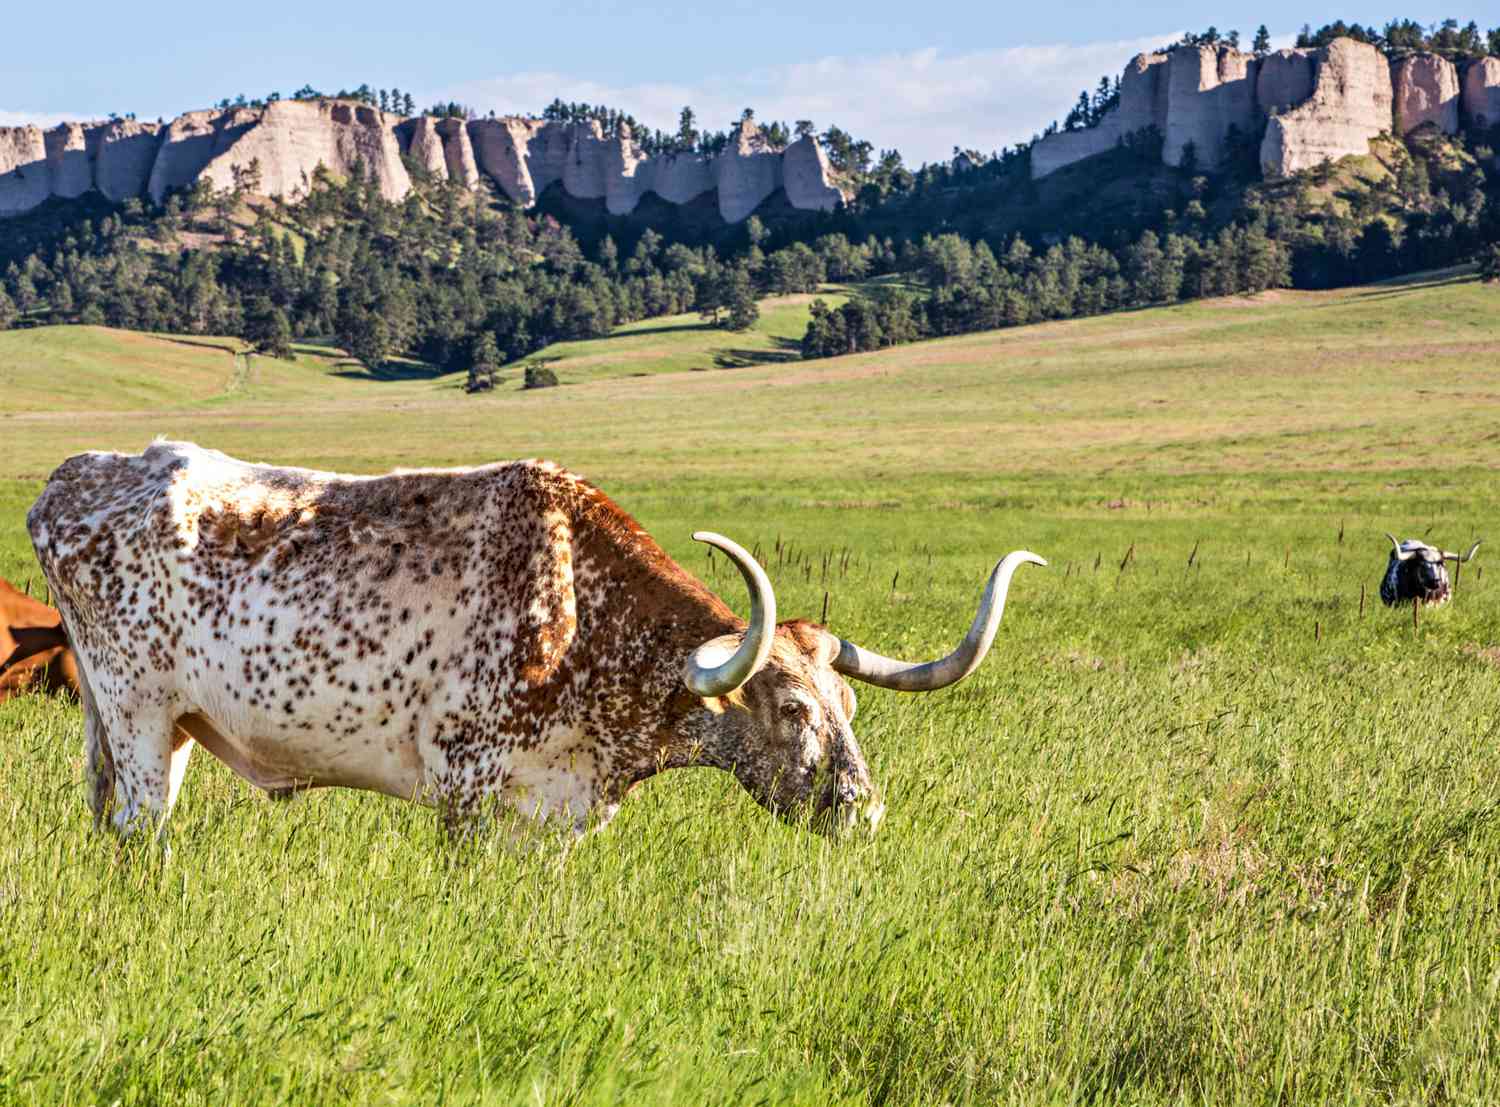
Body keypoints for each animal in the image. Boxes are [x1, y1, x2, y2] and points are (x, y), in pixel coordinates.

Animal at [29, 441, 1050, 834]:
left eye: (849, 705)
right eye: (794, 708)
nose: (861, 810)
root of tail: (74, 479)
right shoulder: (466, 792)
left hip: (167, 728)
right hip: (136, 719)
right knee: (141, 834)